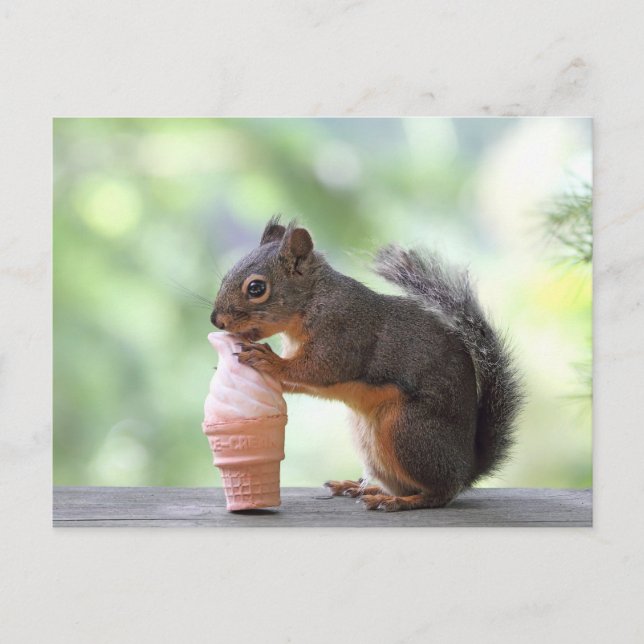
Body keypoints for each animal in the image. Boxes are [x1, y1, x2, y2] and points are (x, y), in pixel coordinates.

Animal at [211, 216, 524, 511]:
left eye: (256, 288)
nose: (217, 321)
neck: (313, 300)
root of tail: (467, 467)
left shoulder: (343, 335)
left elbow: (317, 369)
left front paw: (270, 360)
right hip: (370, 441)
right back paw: (362, 488)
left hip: (407, 430)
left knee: (440, 493)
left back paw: (398, 501)